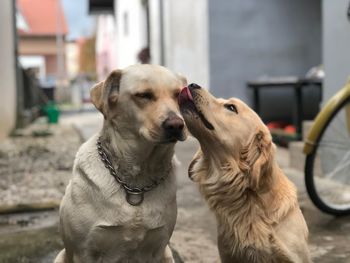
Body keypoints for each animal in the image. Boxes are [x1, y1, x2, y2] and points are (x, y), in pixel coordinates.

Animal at [54, 64, 187, 263]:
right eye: (143, 95)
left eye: (179, 94)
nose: (176, 125)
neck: (136, 181)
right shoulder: (83, 251)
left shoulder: (158, 248)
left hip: (168, 254)